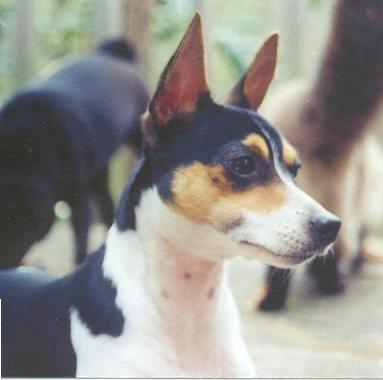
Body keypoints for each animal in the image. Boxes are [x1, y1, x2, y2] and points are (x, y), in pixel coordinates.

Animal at [0, 37, 148, 264]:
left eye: (14, 225)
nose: (5, 263)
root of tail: (111, 55)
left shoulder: (79, 199)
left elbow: (80, 241)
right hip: (98, 175)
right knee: (107, 207)